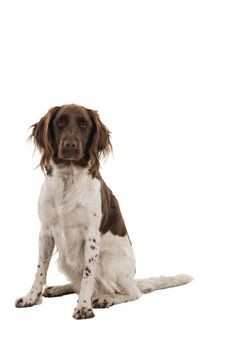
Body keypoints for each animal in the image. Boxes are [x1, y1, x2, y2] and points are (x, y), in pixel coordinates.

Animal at [15, 104, 193, 320]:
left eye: (84, 124)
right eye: (60, 122)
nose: (70, 145)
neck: (68, 179)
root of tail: (132, 277)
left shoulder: (91, 236)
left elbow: (88, 276)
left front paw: (83, 307)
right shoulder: (46, 231)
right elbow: (40, 269)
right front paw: (32, 297)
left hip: (107, 262)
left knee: (131, 292)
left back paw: (105, 299)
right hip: (66, 261)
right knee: (79, 284)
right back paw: (59, 288)